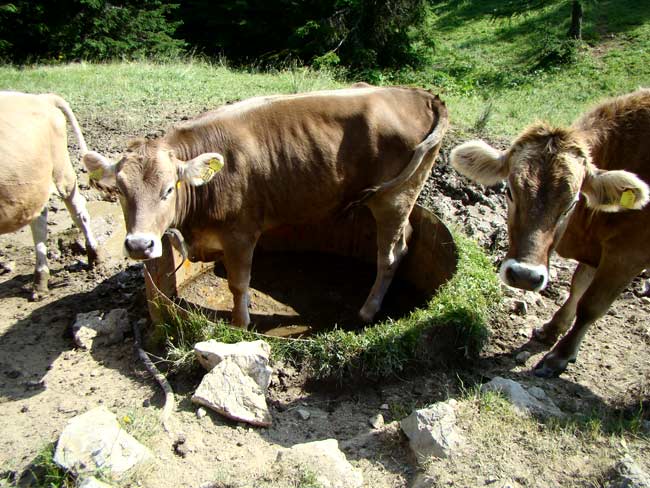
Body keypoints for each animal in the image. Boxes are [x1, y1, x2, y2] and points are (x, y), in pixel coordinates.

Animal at [0, 90, 100, 298]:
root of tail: (43, 97)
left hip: (62, 170)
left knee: (78, 210)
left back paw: (94, 257)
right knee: (40, 218)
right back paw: (40, 283)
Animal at [83, 86, 448, 330]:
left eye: (169, 189)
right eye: (119, 191)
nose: (139, 245)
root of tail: (422, 94)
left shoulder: (240, 233)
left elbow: (238, 282)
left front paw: (239, 324)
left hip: (393, 197)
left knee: (390, 255)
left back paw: (368, 311)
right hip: (400, 195)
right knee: (406, 238)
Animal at [448, 88, 648, 378]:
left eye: (572, 203)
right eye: (509, 191)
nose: (524, 276)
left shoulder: (628, 254)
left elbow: (591, 306)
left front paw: (559, 356)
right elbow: (577, 288)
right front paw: (551, 329)